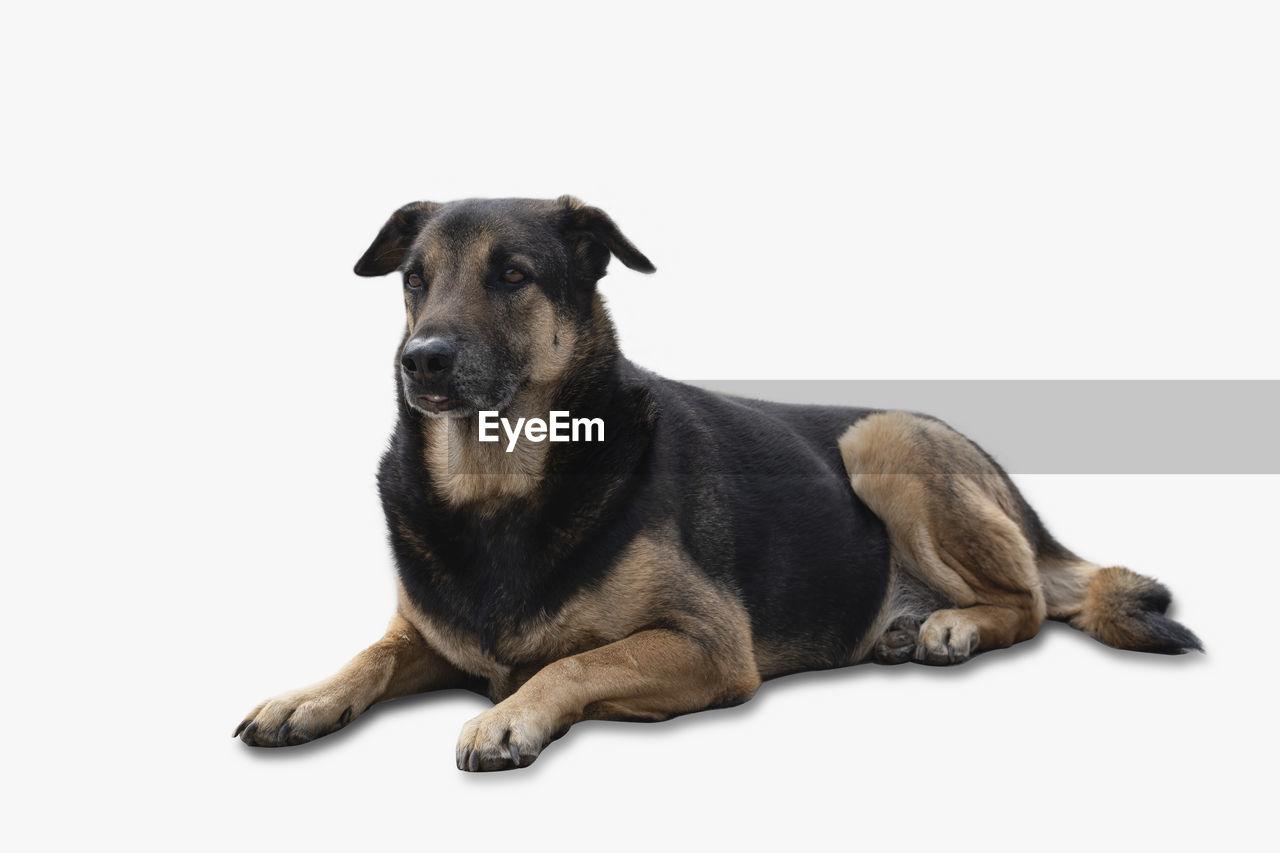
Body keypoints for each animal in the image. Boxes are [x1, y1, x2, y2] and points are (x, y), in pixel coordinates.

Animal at [235, 195, 1203, 768]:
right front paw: (303, 696)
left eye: (512, 275)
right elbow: (368, 654)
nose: (422, 362)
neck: (496, 487)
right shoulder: (423, 635)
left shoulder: (706, 643)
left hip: (882, 435)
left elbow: (581, 657)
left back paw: (951, 624)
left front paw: (510, 714)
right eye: (415, 280)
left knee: (1031, 601)